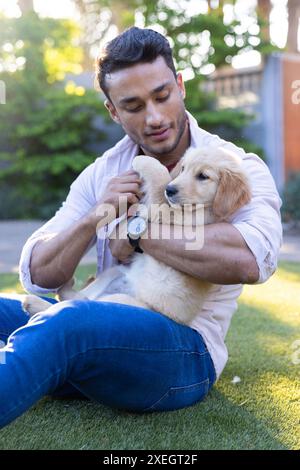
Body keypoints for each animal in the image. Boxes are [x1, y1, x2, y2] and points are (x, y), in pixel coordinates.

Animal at [22, 145, 251, 324]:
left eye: (203, 176)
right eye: (183, 169)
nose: (171, 190)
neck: (205, 208)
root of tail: (130, 288)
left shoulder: (178, 217)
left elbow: (159, 181)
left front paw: (142, 161)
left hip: (115, 303)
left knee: (73, 306)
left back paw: (34, 303)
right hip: (114, 273)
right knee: (78, 298)